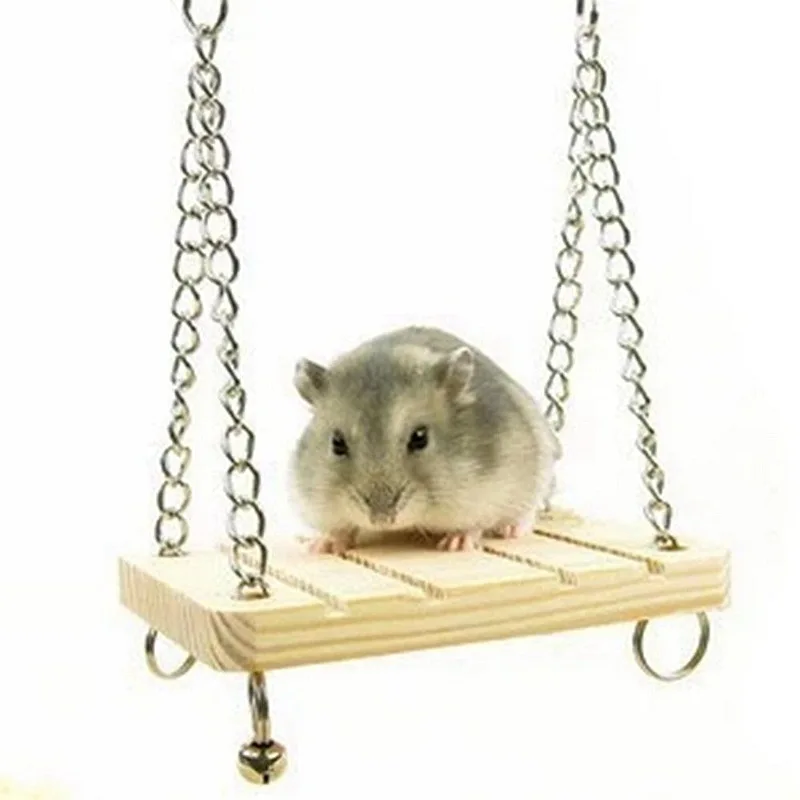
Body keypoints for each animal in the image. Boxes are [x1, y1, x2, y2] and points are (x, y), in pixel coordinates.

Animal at [290, 326, 560, 554]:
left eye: (420, 437)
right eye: (336, 442)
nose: (382, 519)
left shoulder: (488, 492)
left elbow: (474, 524)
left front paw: (455, 544)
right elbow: (338, 529)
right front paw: (323, 545)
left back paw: (510, 530)